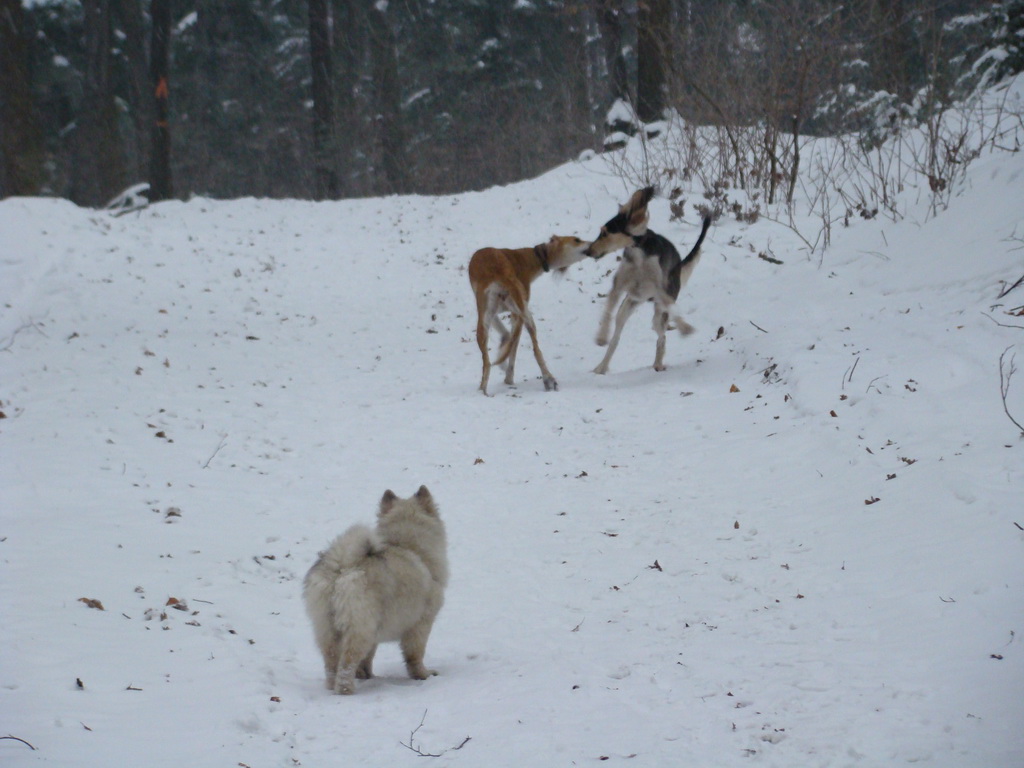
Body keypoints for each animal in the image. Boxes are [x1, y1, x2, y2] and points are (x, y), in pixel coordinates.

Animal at [301, 487, 450, 696]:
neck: (408, 546)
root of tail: (342, 567)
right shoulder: (420, 623)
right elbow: (415, 655)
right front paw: (423, 674)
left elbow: (367, 658)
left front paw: (366, 675)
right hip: (359, 628)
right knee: (347, 662)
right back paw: (345, 690)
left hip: (327, 628)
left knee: (331, 662)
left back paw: (332, 686)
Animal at [466, 236, 593, 397]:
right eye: (577, 239)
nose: (594, 243)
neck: (529, 257)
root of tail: (500, 274)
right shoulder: (517, 314)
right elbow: (513, 345)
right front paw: (508, 375)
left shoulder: (493, 314)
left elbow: (507, 338)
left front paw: (502, 360)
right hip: (525, 314)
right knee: (536, 349)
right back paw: (547, 379)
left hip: (485, 322)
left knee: (487, 362)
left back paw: (483, 390)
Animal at [585, 189, 712, 376]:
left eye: (605, 233)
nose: (588, 251)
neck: (638, 254)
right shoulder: (618, 286)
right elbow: (607, 311)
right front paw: (601, 336)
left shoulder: (659, 288)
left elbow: (675, 313)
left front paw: (685, 327)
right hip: (627, 307)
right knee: (616, 339)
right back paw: (602, 366)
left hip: (658, 312)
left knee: (662, 336)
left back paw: (658, 362)